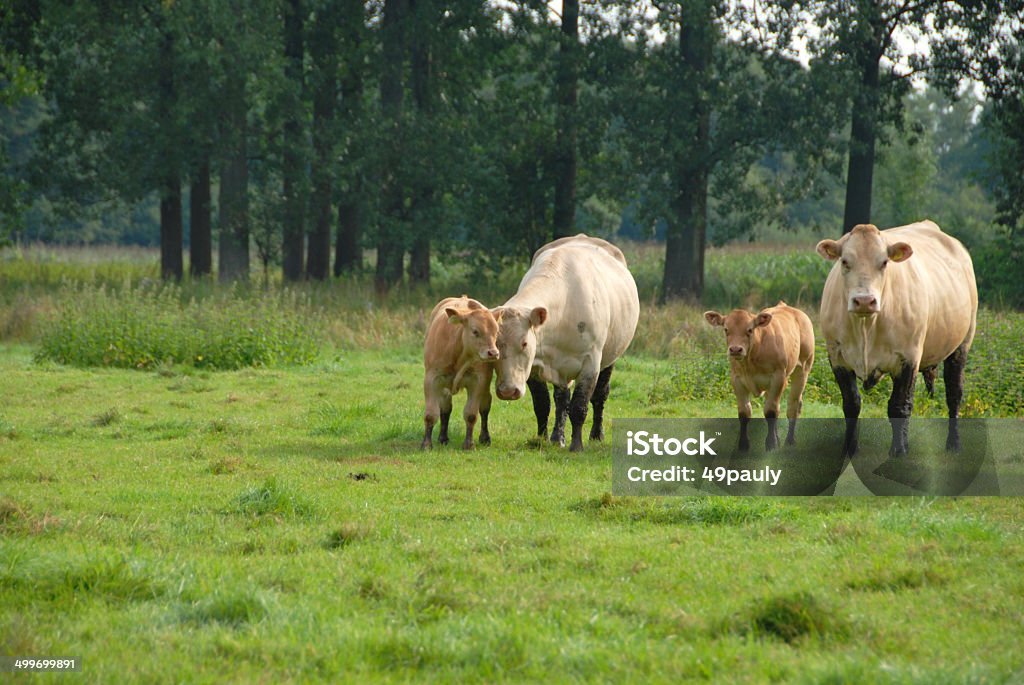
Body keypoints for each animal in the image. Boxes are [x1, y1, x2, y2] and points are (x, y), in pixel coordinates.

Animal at [421, 294, 501, 448]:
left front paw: (469, 444)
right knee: (445, 408)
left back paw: (485, 437)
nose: (493, 353)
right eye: (475, 331)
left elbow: (471, 415)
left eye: (496, 332)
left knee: (484, 407)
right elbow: (431, 414)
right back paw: (443, 437)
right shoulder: (432, 379)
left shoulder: (478, 381)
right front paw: (426, 444)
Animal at [491, 232, 634, 450]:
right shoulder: (534, 365)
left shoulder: (591, 363)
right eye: (495, 345)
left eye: (524, 343)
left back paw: (596, 435)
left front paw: (577, 445)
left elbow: (580, 406)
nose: (507, 391)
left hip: (611, 356)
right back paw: (557, 437)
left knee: (599, 396)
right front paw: (541, 438)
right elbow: (542, 404)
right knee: (561, 399)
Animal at [704, 301, 815, 450]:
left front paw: (771, 444)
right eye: (726, 329)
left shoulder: (777, 378)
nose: (735, 349)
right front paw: (743, 445)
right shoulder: (736, 380)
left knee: (793, 405)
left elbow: (771, 412)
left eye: (750, 330)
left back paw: (790, 440)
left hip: (803, 369)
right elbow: (744, 413)